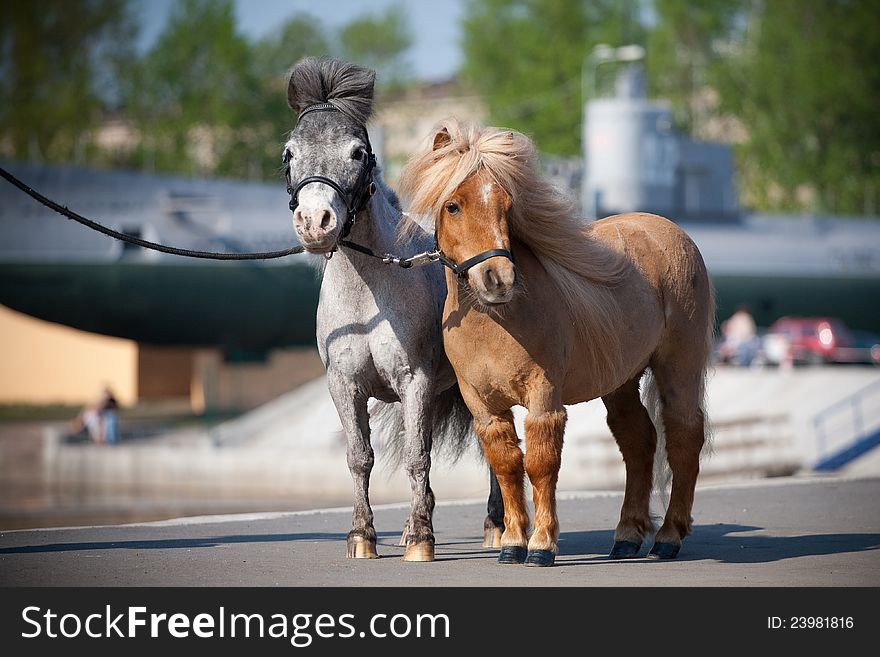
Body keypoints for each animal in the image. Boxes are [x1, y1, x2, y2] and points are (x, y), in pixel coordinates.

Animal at [282, 56, 502, 560]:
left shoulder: (415, 382)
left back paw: (497, 526)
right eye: (288, 153)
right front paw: (363, 536)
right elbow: (359, 458)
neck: (369, 300)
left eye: (358, 152)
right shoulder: (344, 387)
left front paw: (420, 540)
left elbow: (417, 458)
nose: (315, 222)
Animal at [398, 120, 716, 568]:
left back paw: (669, 536)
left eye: (506, 204)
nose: (498, 279)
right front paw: (512, 542)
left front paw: (541, 545)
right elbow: (507, 466)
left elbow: (540, 465)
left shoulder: (543, 397)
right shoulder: (484, 407)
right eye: (453, 206)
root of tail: (672, 232)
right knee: (639, 441)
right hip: (620, 382)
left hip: (678, 367)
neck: (500, 321)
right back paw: (626, 536)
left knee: (684, 437)